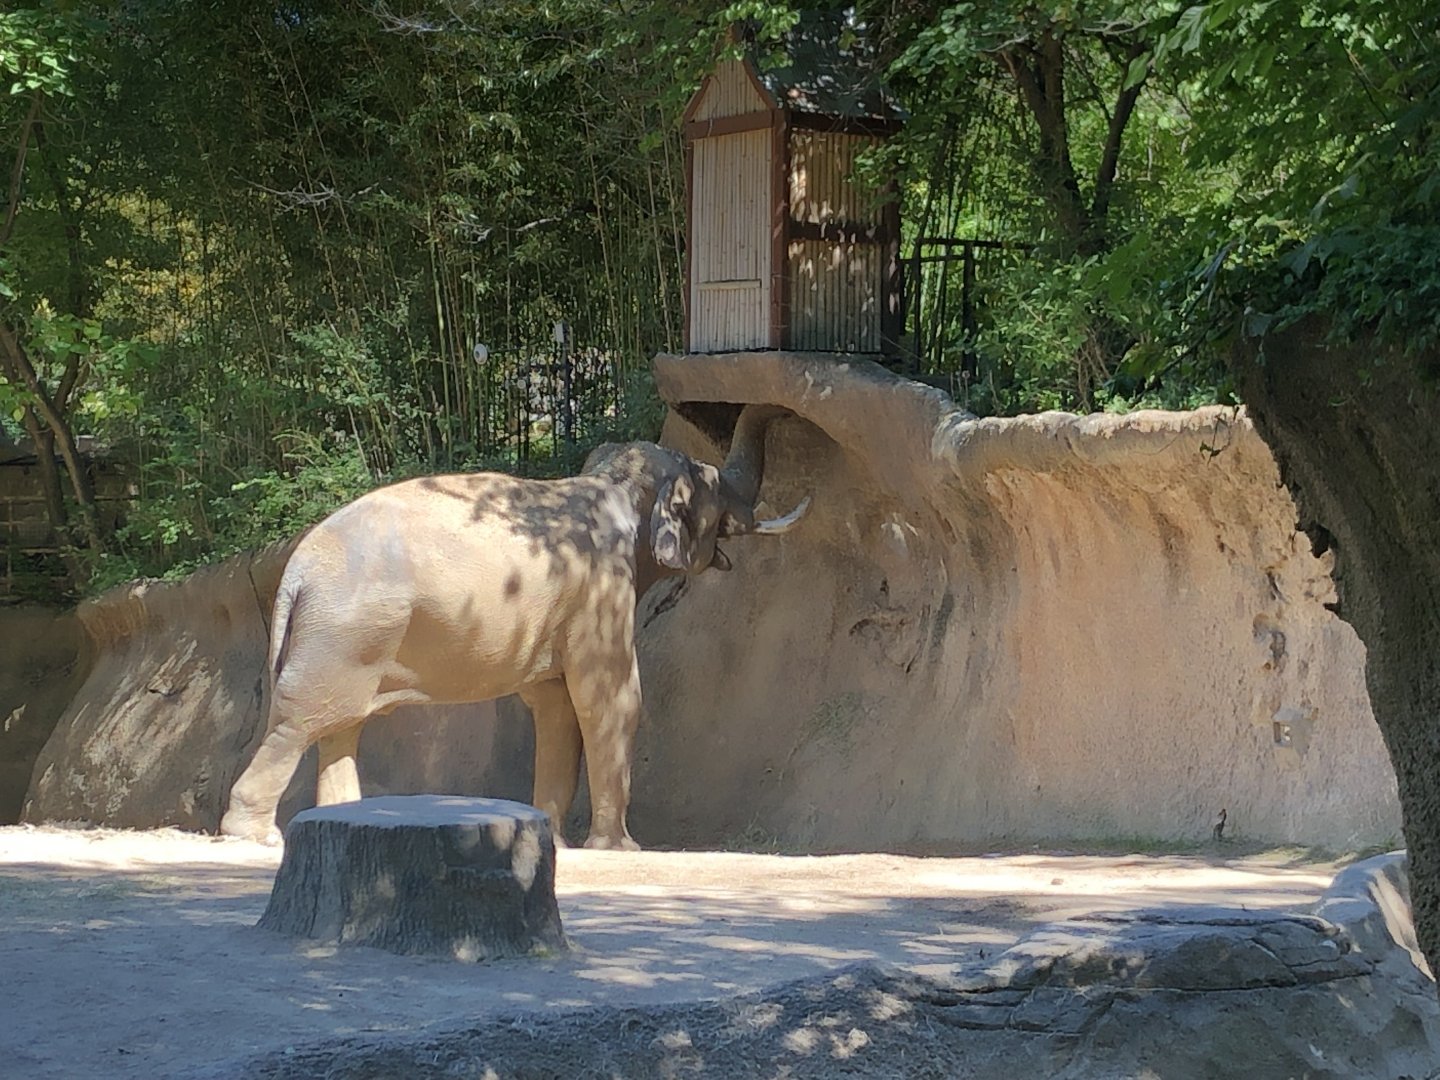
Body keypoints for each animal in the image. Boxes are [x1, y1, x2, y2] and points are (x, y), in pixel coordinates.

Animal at [219, 405, 808, 849]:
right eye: (714, 487)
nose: (789, 412)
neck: (612, 482)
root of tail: (295, 571)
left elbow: (555, 707)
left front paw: (556, 840)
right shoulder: (601, 586)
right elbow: (609, 697)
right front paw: (619, 848)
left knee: (340, 727)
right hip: (344, 635)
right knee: (300, 722)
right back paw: (255, 836)